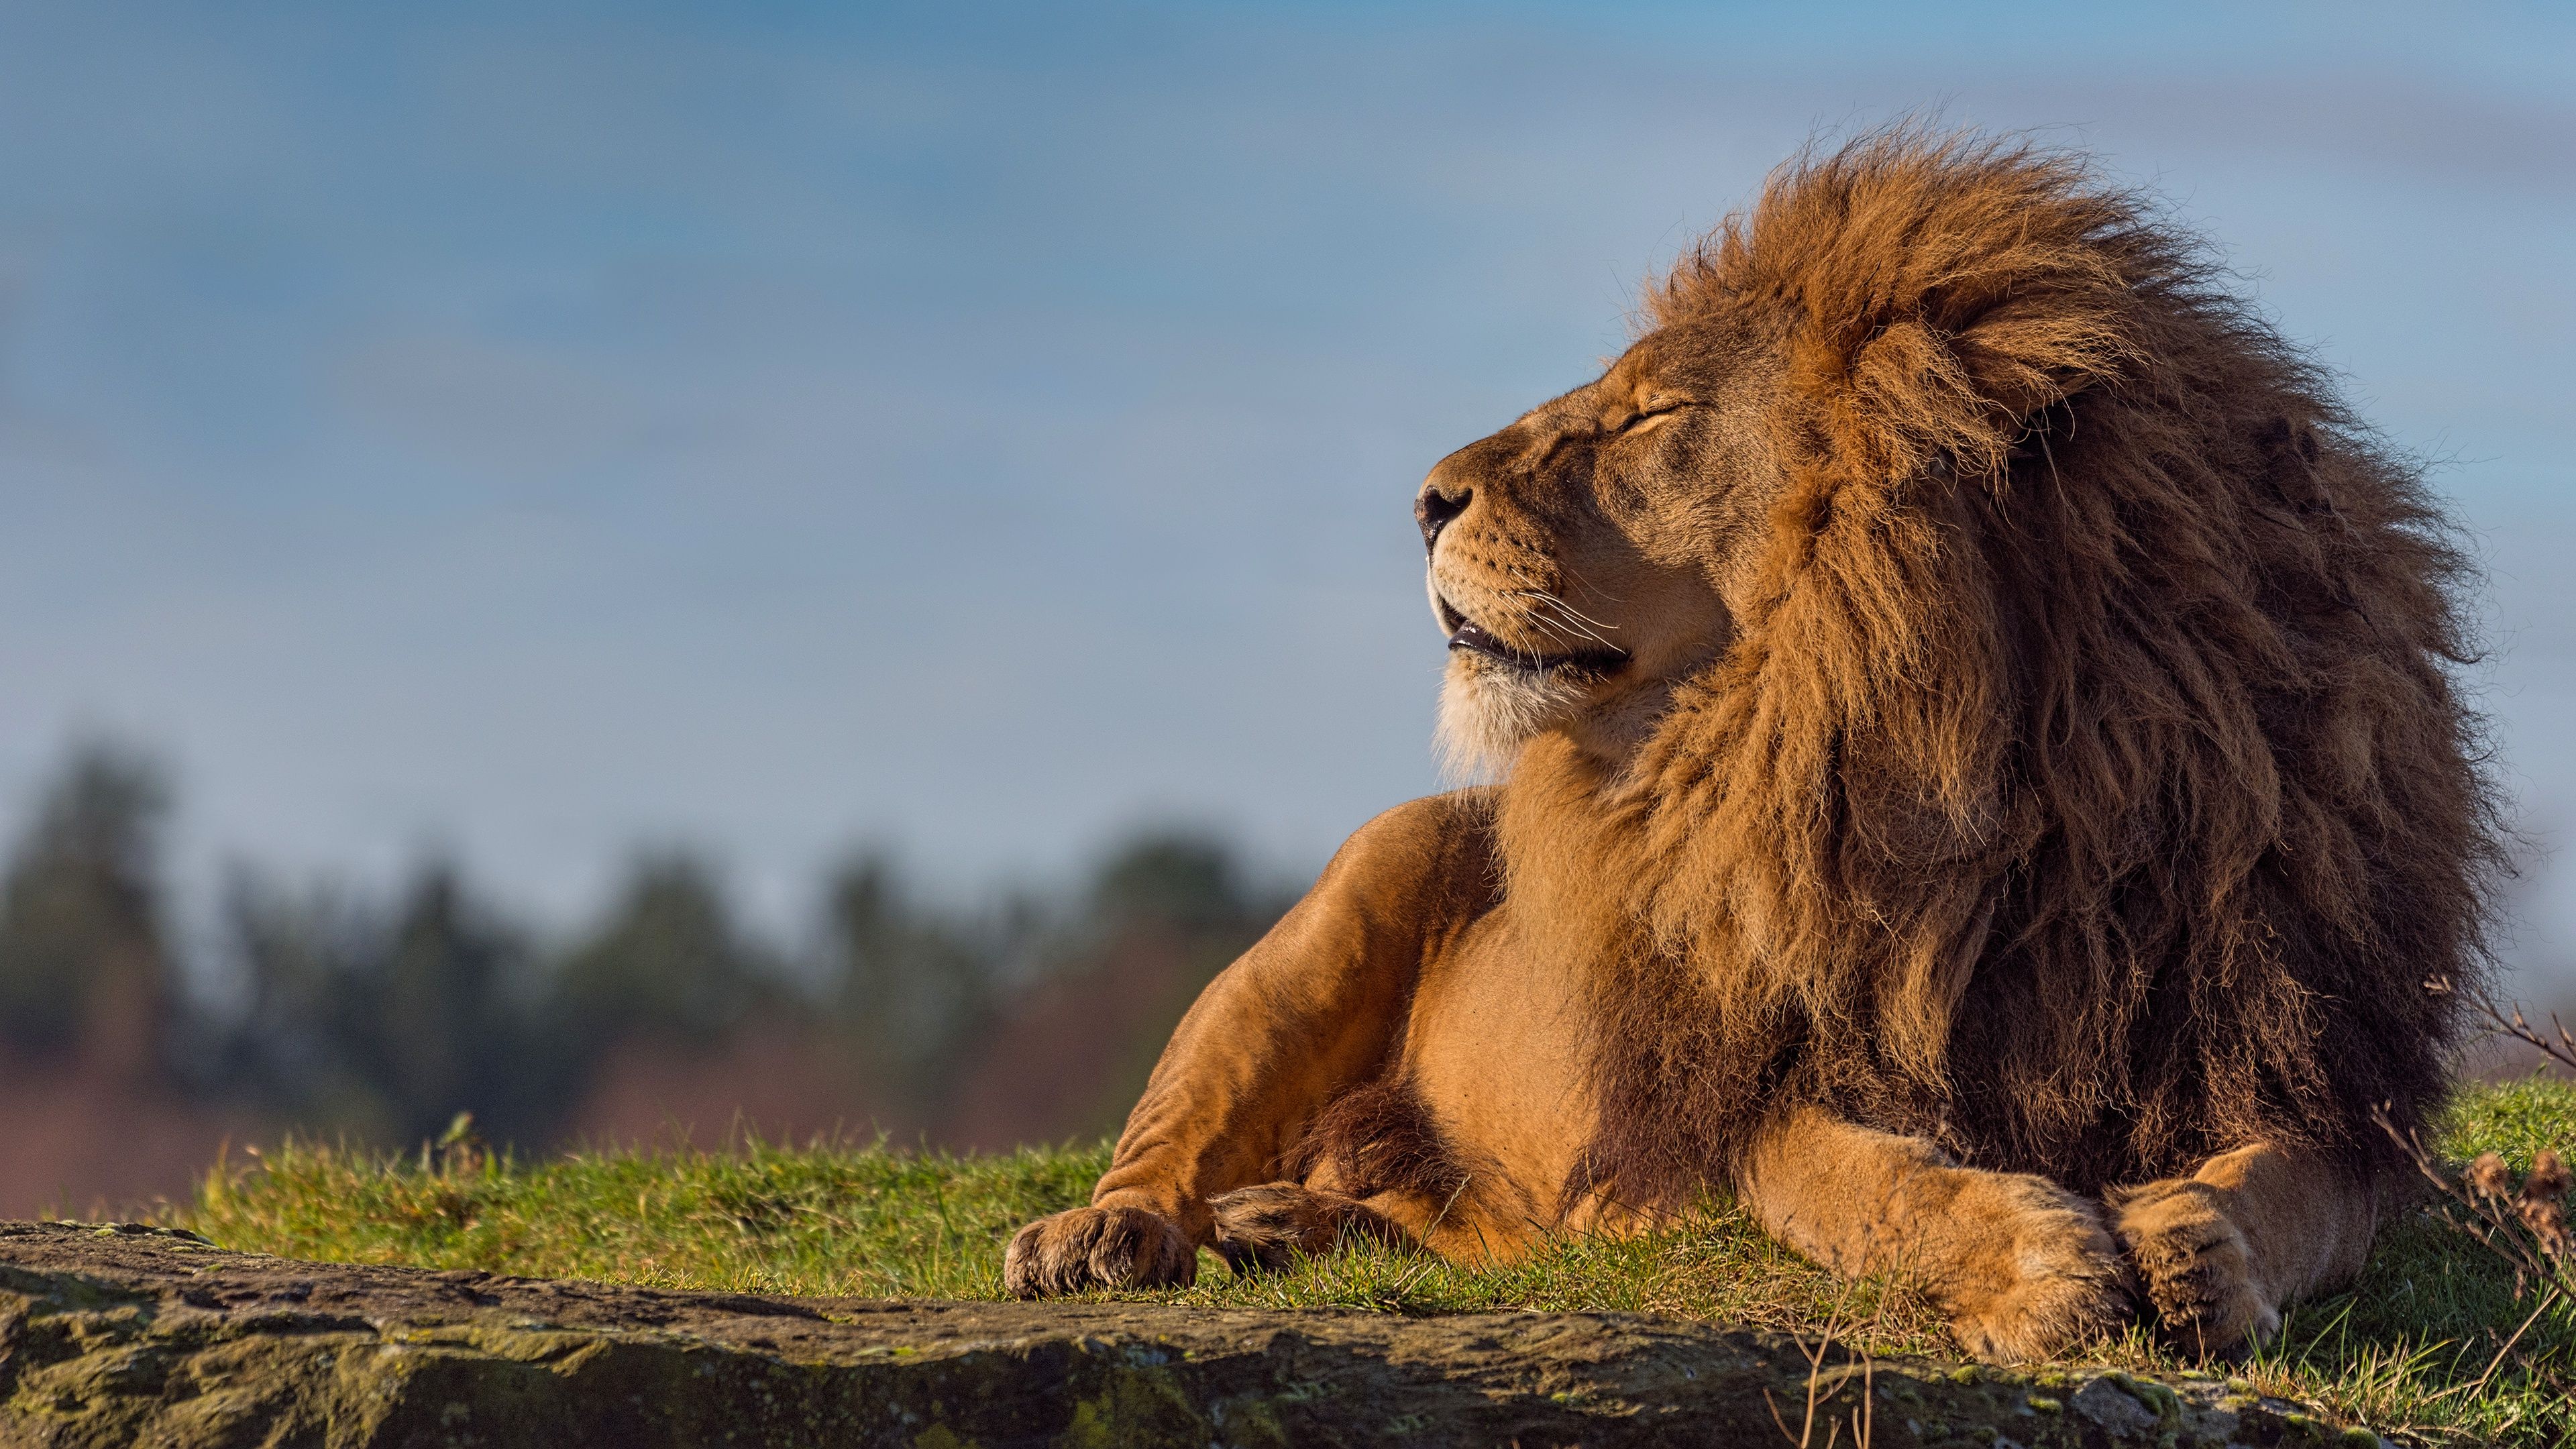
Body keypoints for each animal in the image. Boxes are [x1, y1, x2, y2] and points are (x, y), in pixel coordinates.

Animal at [1003, 130, 2499, 1364]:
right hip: (1332, 919)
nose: (1422, 501)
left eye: (1649, 416)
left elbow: (2290, 1195)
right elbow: (1844, 1176)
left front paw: (2197, 1249)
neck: (2036, 787)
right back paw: (1107, 1236)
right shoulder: (1742, 1093)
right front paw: (2034, 1267)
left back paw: (1296, 1226)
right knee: (1173, 1138)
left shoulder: (2317, 1075)